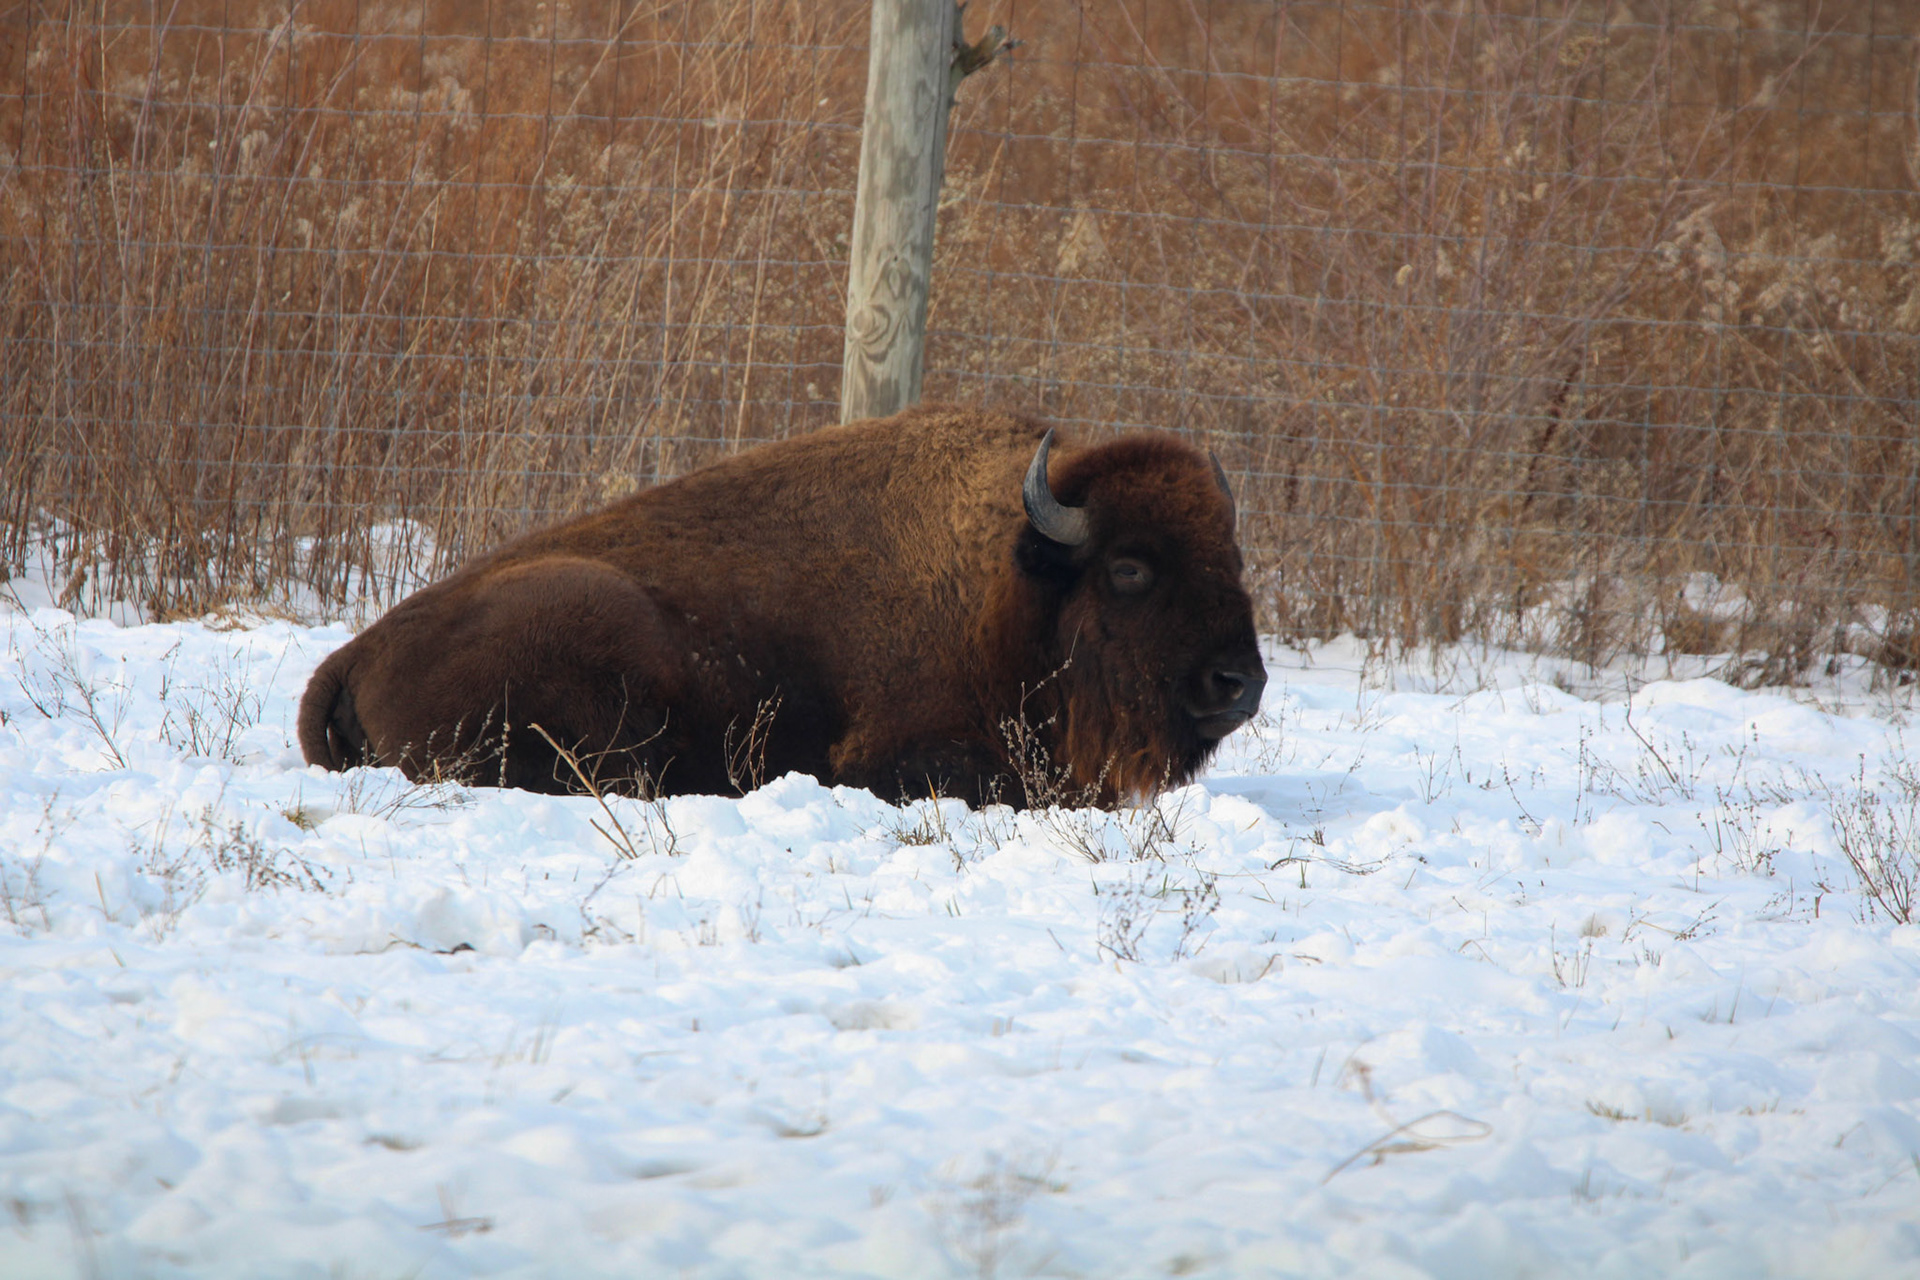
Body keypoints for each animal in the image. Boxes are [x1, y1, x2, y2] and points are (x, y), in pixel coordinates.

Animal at [297, 404, 1266, 808]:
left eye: (1232, 555)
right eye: (1130, 568)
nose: (1240, 683)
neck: (1013, 583)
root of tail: (349, 657)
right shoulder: (901, 755)